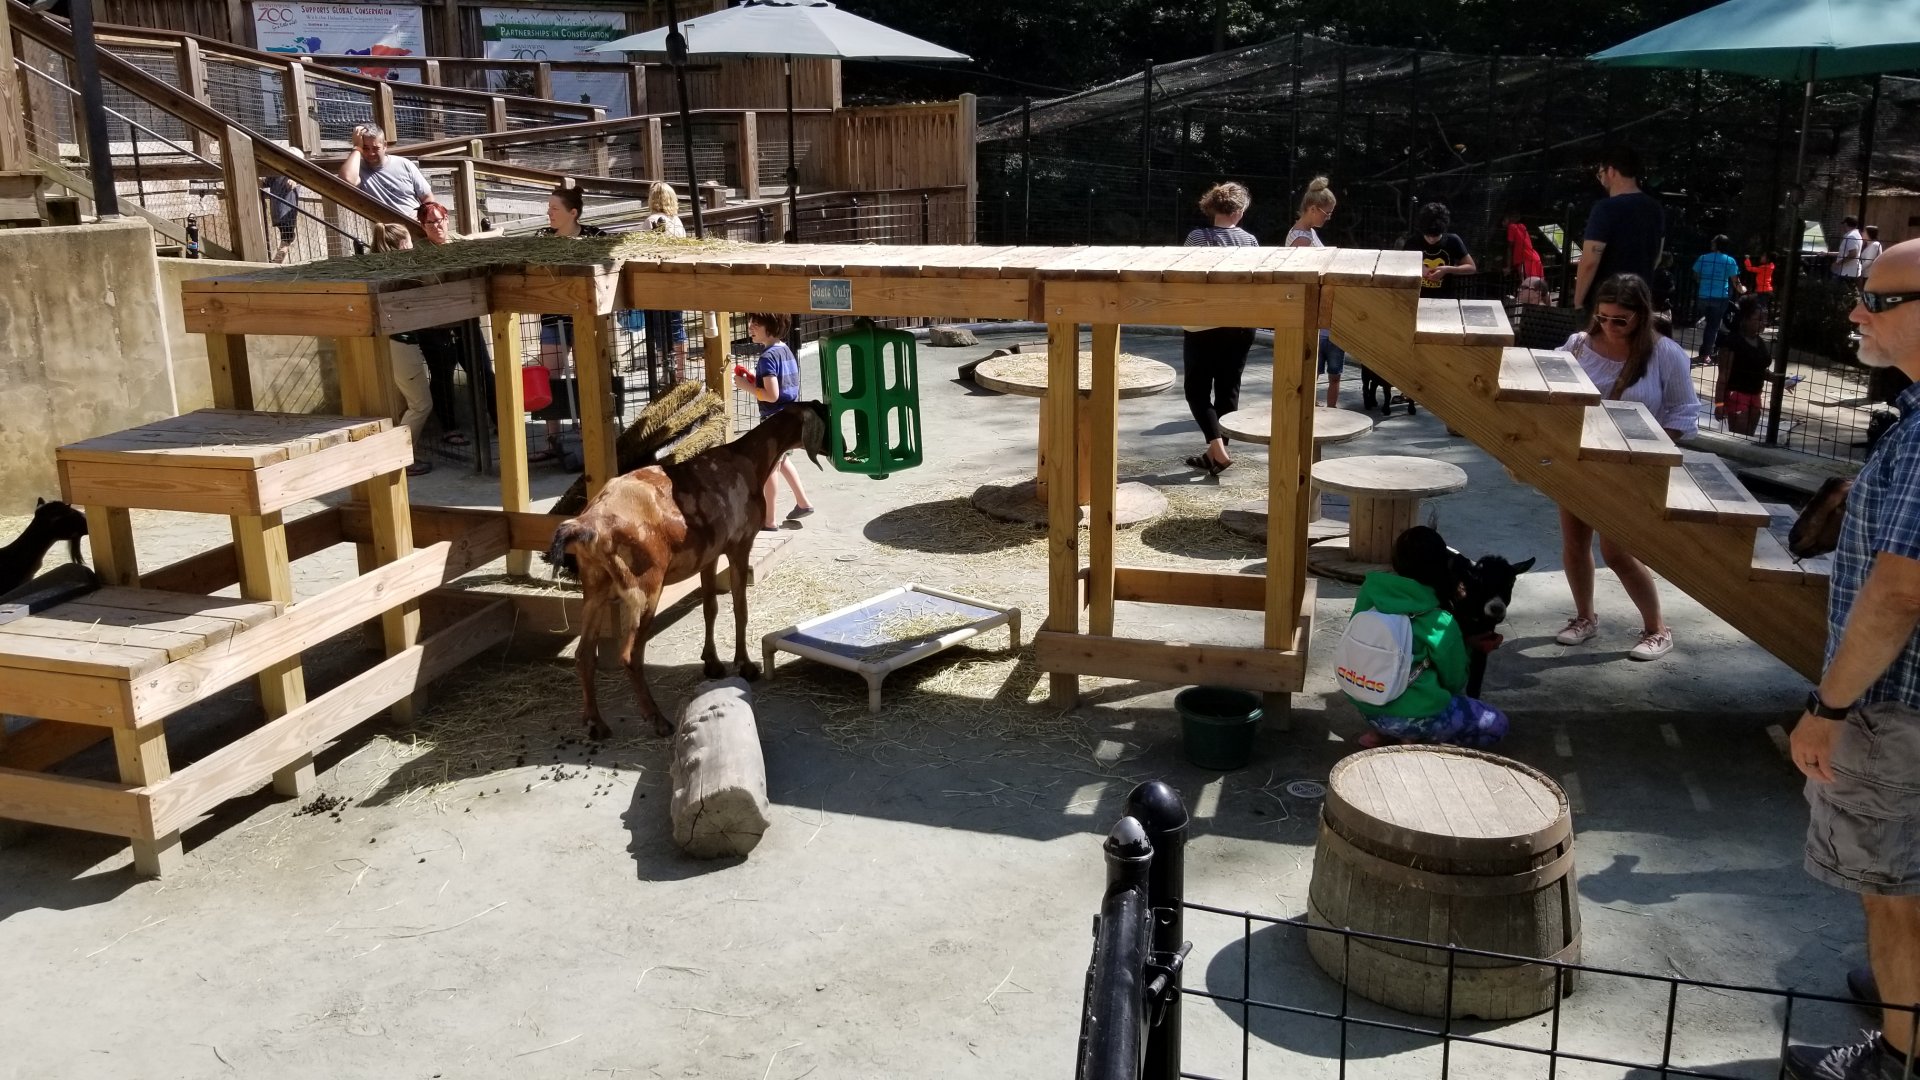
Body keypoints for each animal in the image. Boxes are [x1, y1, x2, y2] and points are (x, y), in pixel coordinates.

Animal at [549, 402, 830, 740]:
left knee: (583, 654)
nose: (839, 449)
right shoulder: (739, 545)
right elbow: (740, 608)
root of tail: (587, 524)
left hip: (594, 587)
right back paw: (657, 719)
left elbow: (710, 607)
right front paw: (745, 665)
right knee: (630, 654)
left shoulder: (708, 556)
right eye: (827, 415)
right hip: (644, 587)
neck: (749, 460)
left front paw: (713, 663)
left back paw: (596, 723)